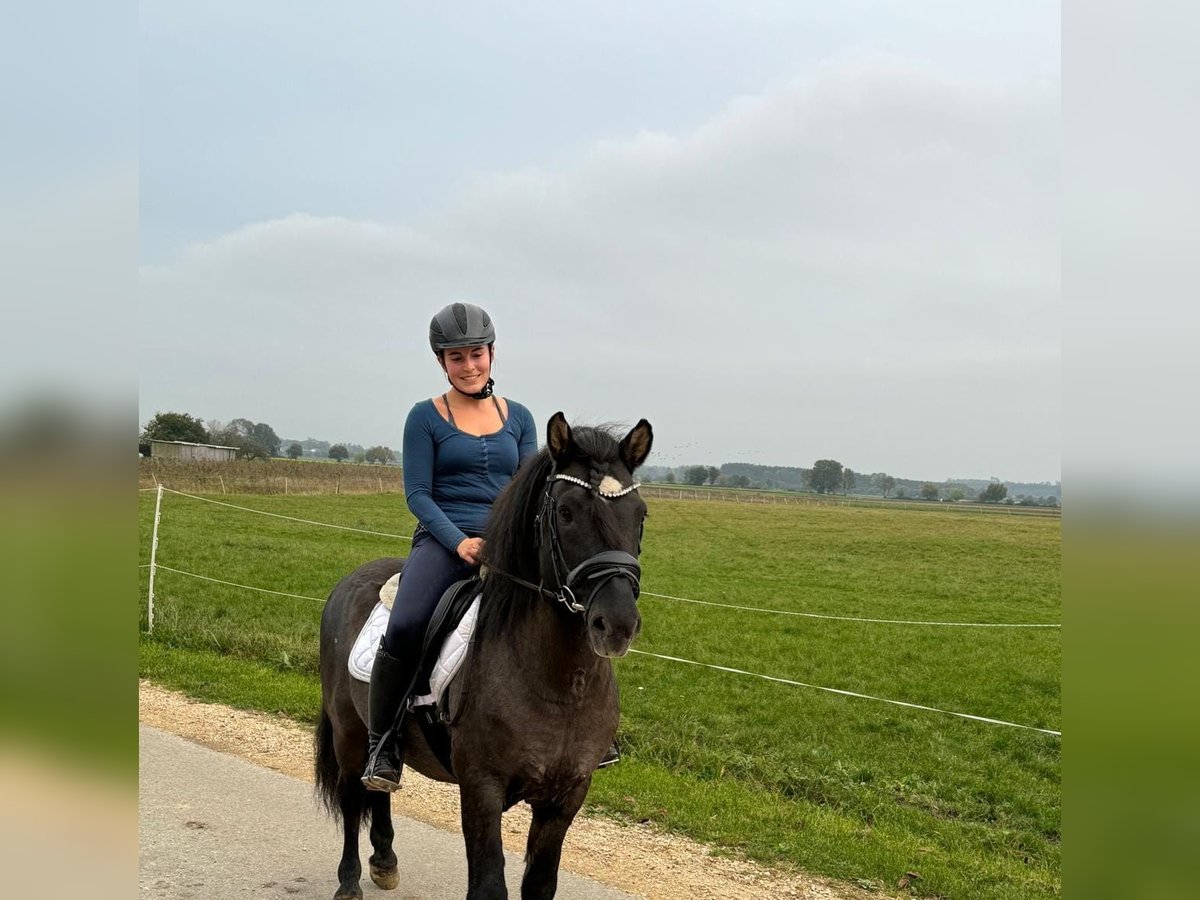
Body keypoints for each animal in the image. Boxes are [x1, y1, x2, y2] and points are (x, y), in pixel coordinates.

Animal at [314, 415, 652, 900]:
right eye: (566, 512)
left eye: (640, 514)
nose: (618, 624)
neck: (556, 685)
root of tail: (350, 580)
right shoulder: (481, 790)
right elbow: (489, 885)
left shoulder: (566, 796)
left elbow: (540, 885)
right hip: (349, 731)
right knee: (350, 794)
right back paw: (349, 880)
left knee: (378, 790)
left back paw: (384, 860)